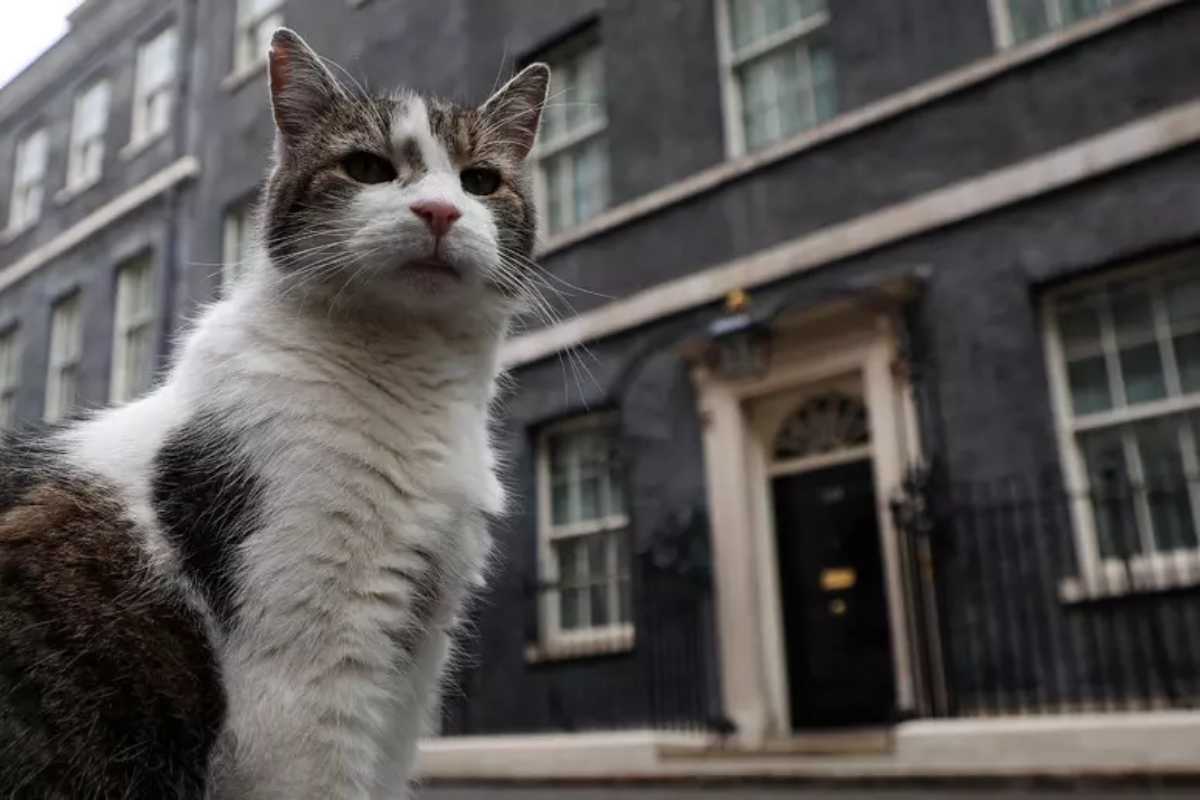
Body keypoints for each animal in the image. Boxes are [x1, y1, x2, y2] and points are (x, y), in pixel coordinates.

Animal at [0, 26, 549, 800]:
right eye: (367, 167)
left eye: (480, 181)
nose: (440, 212)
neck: (413, 380)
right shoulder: (308, 679)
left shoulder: (407, 678)